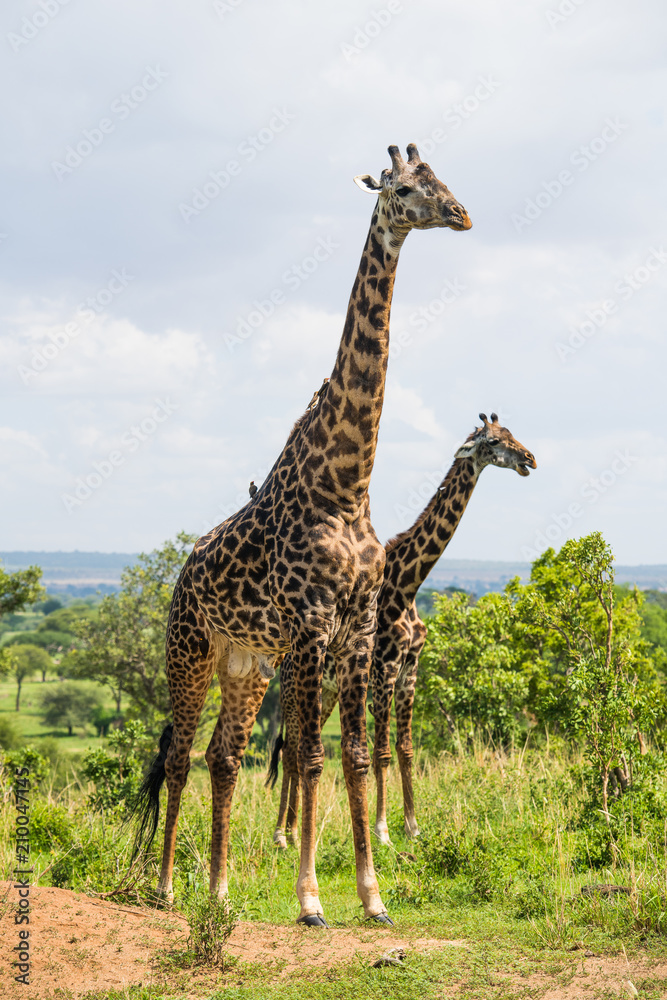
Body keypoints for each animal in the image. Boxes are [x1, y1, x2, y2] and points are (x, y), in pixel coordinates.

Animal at [131, 144, 471, 927]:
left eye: (442, 180)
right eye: (403, 189)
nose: (461, 213)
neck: (346, 484)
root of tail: (182, 574)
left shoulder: (356, 630)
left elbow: (352, 755)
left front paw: (373, 897)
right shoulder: (314, 627)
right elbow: (312, 755)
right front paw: (312, 898)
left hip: (246, 665)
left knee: (223, 755)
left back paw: (220, 891)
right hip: (189, 651)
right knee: (179, 756)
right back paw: (165, 888)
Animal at [269, 413, 536, 848]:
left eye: (512, 434)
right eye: (495, 441)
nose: (530, 459)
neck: (410, 584)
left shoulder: (411, 666)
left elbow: (406, 747)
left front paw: (412, 825)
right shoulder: (384, 667)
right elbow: (381, 751)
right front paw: (382, 830)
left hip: (327, 690)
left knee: (296, 747)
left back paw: (292, 830)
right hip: (294, 685)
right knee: (291, 749)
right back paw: (283, 834)